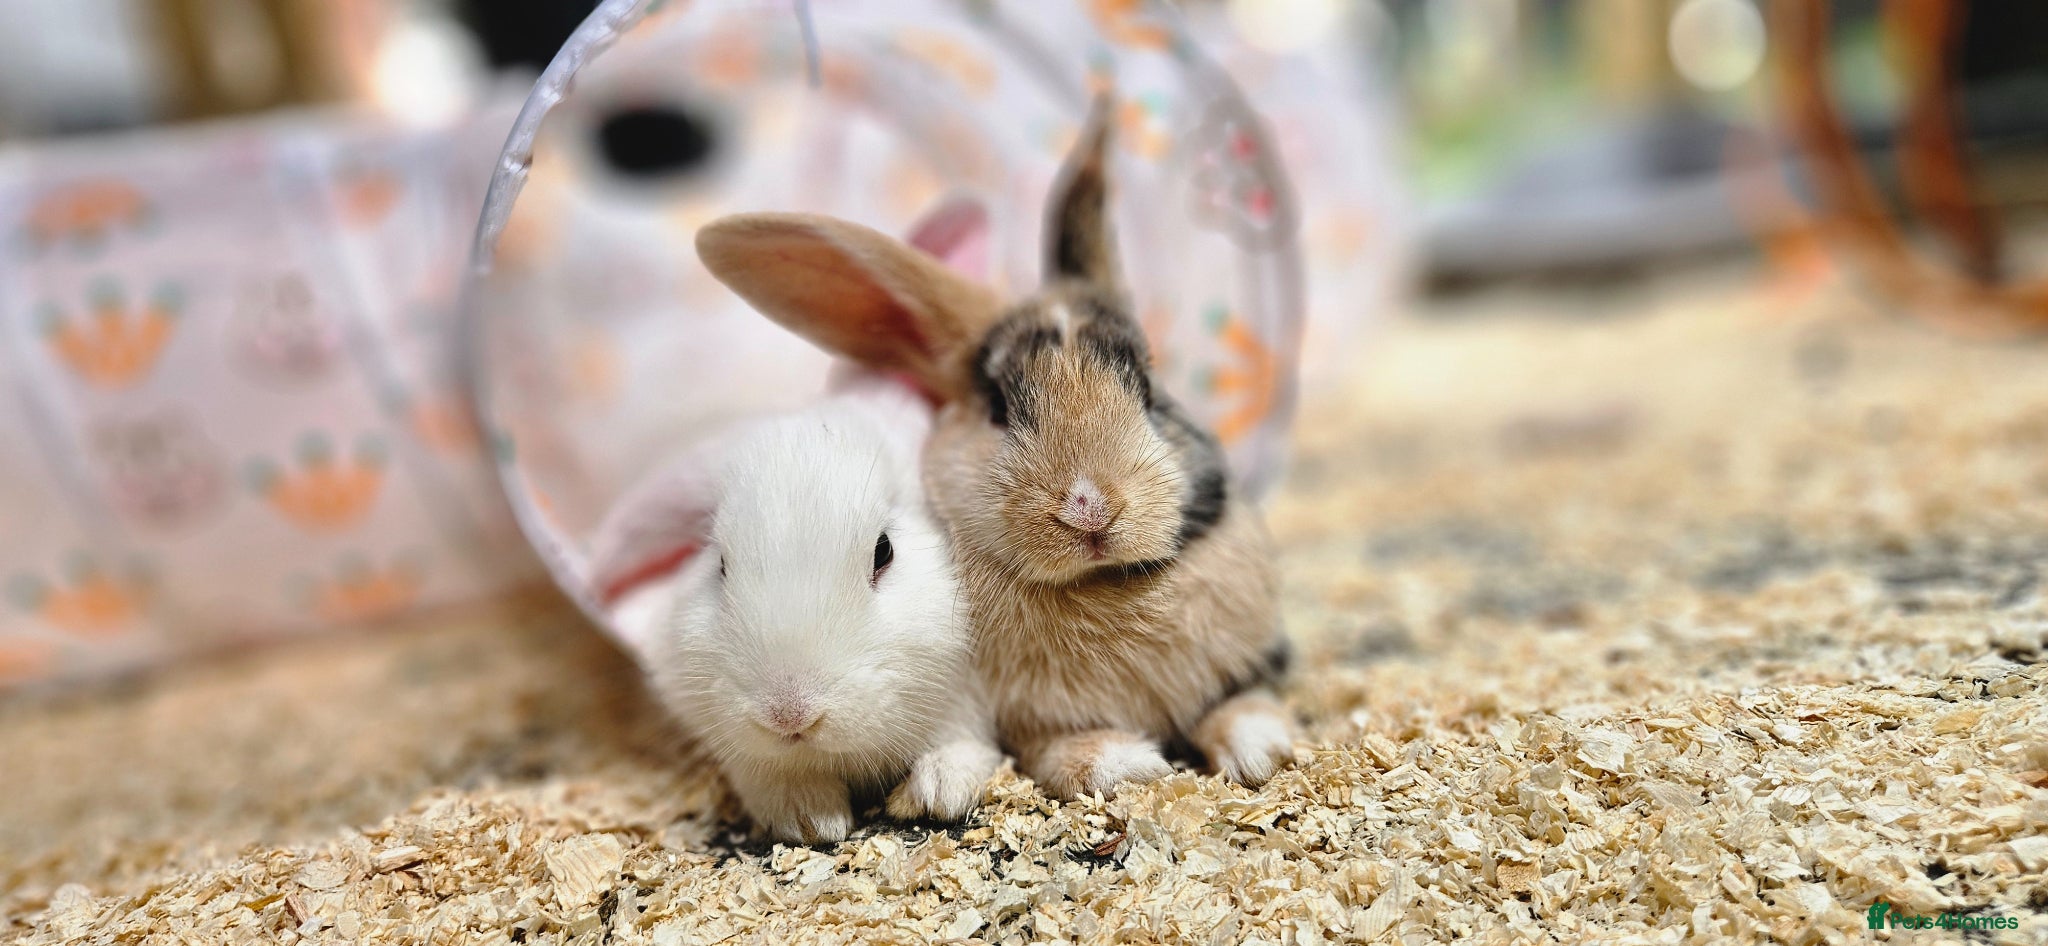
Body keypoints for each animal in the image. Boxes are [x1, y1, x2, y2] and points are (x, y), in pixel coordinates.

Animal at [586, 373, 1001, 843]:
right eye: (720, 564)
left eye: (884, 551)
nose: (789, 716)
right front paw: (810, 819)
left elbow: (964, 742)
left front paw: (937, 793)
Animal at [693, 93, 1296, 802]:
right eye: (999, 409)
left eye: (1149, 389)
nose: (1090, 509)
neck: (1102, 585)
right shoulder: (1031, 728)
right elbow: (1061, 752)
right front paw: (1127, 763)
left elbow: (1240, 703)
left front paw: (1263, 749)